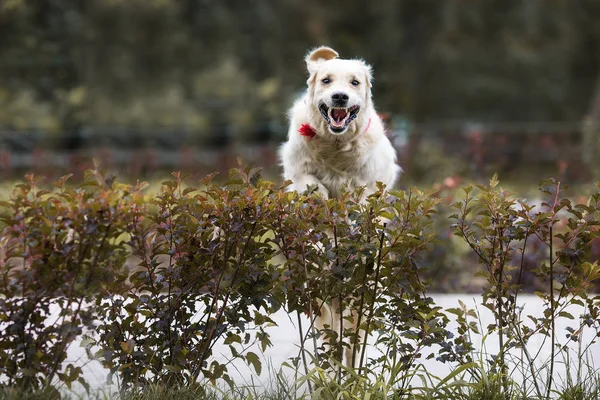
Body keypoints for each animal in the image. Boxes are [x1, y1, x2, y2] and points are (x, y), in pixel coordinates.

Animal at [278, 47, 400, 368]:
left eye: (355, 82)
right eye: (326, 80)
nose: (340, 97)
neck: (335, 144)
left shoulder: (369, 182)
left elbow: (360, 197)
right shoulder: (298, 169)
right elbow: (310, 184)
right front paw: (321, 199)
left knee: (353, 334)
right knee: (330, 329)